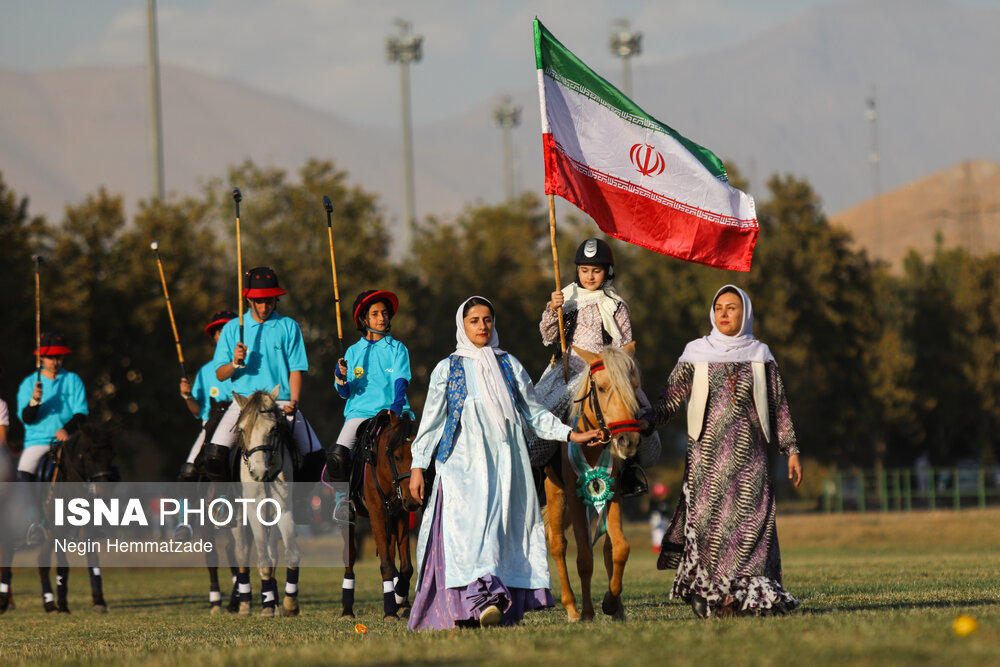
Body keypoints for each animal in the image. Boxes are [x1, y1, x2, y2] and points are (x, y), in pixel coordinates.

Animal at [231, 388, 300, 620]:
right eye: (242, 429)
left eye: (274, 428)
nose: (257, 471)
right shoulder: (254, 511)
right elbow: (262, 560)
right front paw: (268, 607)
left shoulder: (285, 509)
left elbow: (291, 553)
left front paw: (289, 604)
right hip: (237, 518)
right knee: (242, 553)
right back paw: (245, 606)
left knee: (273, 553)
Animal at [340, 410, 422, 624]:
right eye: (396, 456)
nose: (413, 501)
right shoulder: (376, 512)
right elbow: (385, 564)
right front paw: (390, 611)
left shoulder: (401, 515)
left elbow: (406, 566)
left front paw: (400, 597)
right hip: (350, 522)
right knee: (350, 556)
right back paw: (347, 610)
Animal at [544, 344, 644, 620]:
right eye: (600, 388)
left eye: (634, 385)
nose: (627, 441)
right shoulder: (575, 498)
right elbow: (585, 560)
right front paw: (588, 613)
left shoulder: (614, 494)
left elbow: (619, 549)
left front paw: (612, 603)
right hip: (555, 494)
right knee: (557, 545)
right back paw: (571, 608)